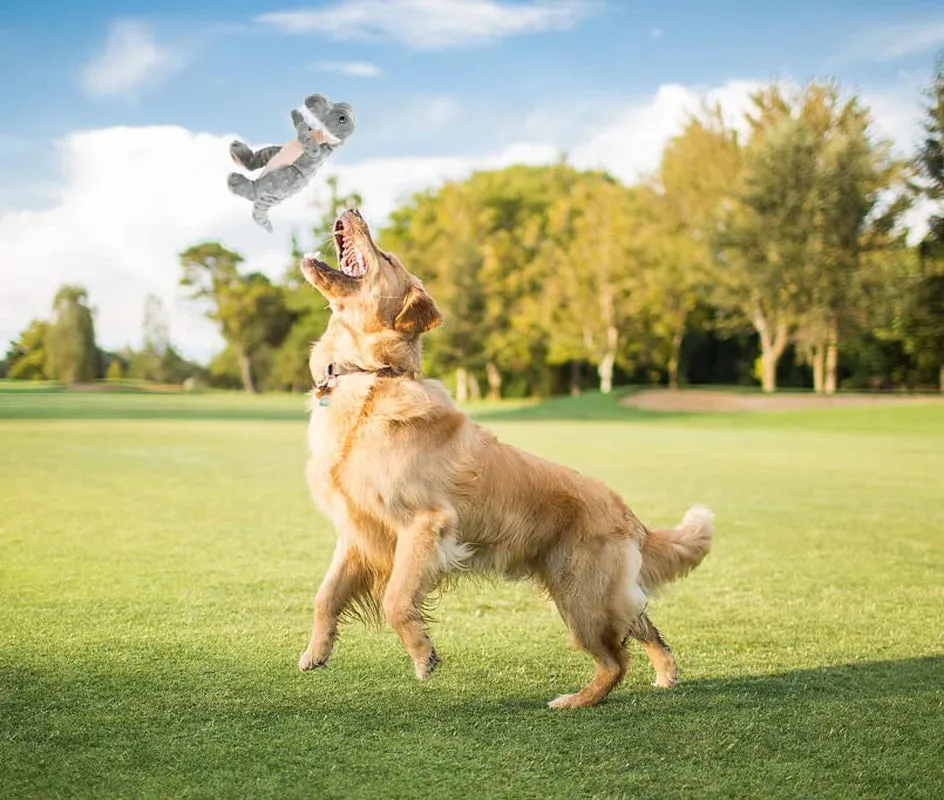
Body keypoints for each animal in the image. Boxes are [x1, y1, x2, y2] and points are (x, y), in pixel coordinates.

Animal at [298, 209, 712, 708]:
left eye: (388, 257)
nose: (354, 210)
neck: (372, 378)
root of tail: (629, 514)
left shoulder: (426, 524)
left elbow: (395, 599)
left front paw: (422, 655)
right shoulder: (357, 531)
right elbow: (325, 596)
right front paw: (315, 652)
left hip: (581, 598)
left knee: (616, 660)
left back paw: (575, 701)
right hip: (596, 595)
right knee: (645, 628)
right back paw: (666, 676)